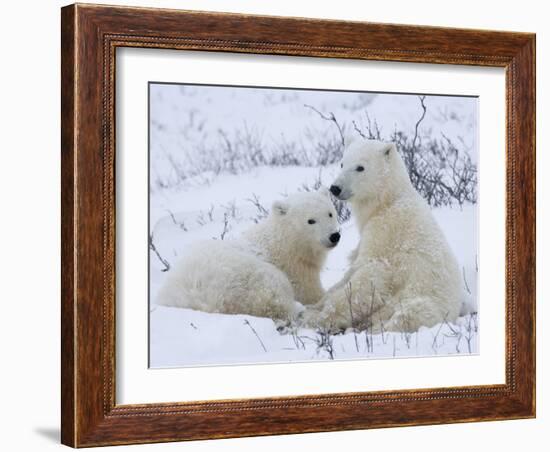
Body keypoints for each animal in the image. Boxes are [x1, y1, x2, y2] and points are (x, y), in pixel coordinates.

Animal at [155, 191, 342, 322]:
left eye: (330, 213)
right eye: (311, 221)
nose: (334, 236)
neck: (285, 244)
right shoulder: (295, 270)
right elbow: (311, 293)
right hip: (245, 278)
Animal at [308, 139, 468, 334]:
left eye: (360, 167)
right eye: (342, 163)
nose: (335, 188)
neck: (387, 201)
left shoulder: (385, 233)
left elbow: (369, 276)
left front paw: (317, 318)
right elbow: (351, 271)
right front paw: (314, 306)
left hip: (423, 301)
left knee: (406, 316)